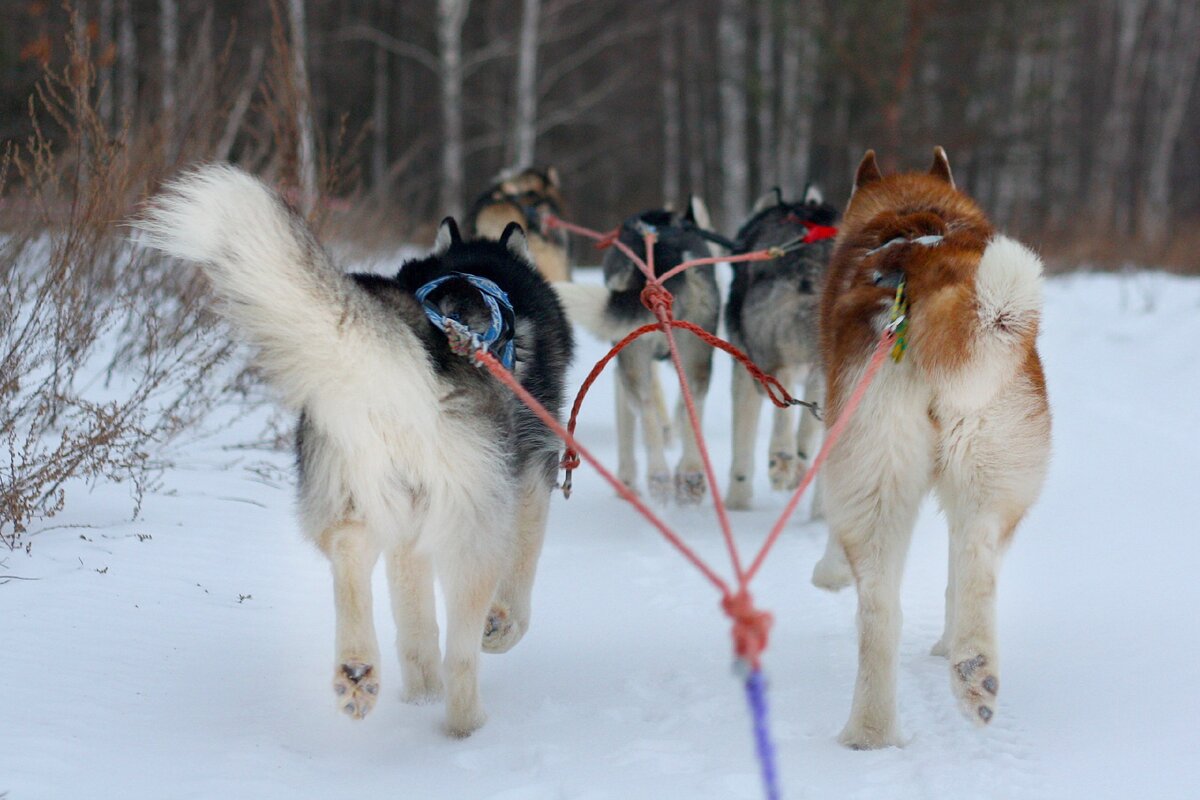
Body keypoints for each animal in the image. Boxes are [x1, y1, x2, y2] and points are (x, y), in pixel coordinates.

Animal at [133, 164, 573, 738]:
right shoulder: (531, 478)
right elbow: (521, 578)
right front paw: (500, 631)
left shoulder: (411, 526)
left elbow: (414, 625)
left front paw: (420, 694)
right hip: (471, 524)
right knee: (460, 650)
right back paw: (465, 723)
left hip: (355, 492)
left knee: (349, 555)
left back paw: (359, 670)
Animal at [554, 197, 715, 503]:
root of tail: (661, 252)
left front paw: (626, 480)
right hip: (693, 354)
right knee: (689, 402)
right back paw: (689, 474)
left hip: (634, 356)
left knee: (646, 408)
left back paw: (658, 474)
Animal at [724, 185, 840, 513]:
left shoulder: (741, 369)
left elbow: (741, 452)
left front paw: (736, 502)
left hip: (764, 356)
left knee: (781, 392)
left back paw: (783, 457)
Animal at [816, 149, 1051, 753]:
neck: (912, 216)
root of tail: (929, 278)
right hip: (981, 477)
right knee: (970, 564)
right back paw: (960, 670)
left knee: (881, 605)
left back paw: (874, 730)